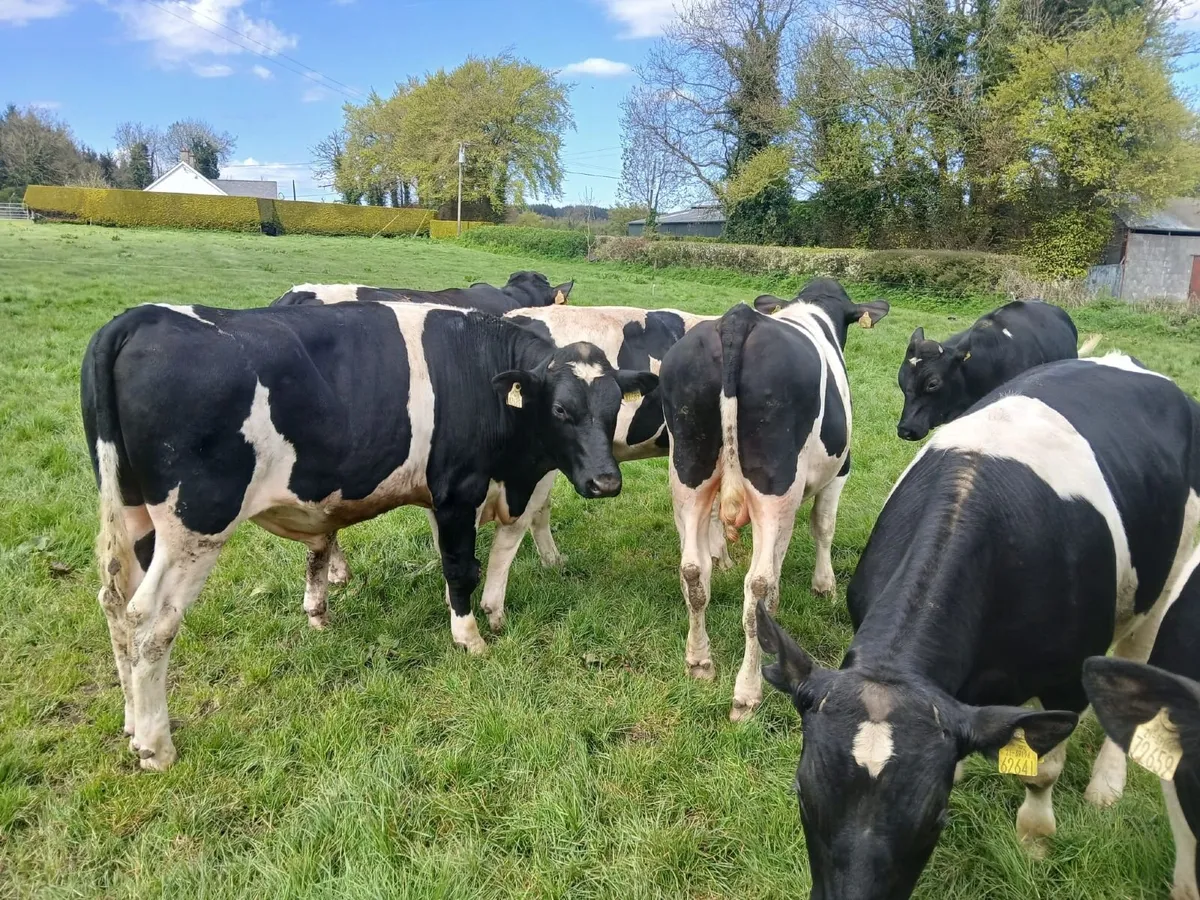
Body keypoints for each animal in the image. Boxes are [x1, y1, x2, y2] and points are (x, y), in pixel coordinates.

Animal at [82, 300, 656, 770]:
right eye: (561, 410)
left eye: (613, 410)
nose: (606, 482)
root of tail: (140, 317)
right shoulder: (458, 488)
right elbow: (461, 567)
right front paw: (470, 637)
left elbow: (496, 554)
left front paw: (495, 614)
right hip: (195, 525)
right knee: (150, 621)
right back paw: (156, 745)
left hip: (133, 513)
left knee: (116, 603)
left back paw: (132, 721)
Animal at [658, 277, 890, 721]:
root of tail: (737, 320)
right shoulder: (840, 471)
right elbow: (822, 527)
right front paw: (824, 586)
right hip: (774, 483)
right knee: (756, 590)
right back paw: (746, 695)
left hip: (688, 469)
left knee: (693, 570)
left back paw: (699, 662)